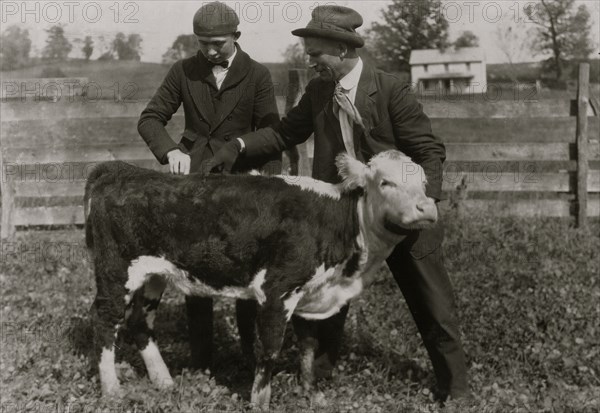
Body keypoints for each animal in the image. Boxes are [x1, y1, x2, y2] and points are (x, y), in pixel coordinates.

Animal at [85, 150, 436, 408]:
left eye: (425, 183)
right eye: (385, 183)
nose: (427, 208)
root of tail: (124, 171)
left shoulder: (309, 293)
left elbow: (308, 347)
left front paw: (311, 394)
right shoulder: (277, 291)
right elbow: (269, 351)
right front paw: (260, 401)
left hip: (154, 273)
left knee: (139, 322)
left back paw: (163, 380)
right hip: (115, 272)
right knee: (103, 321)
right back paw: (112, 390)